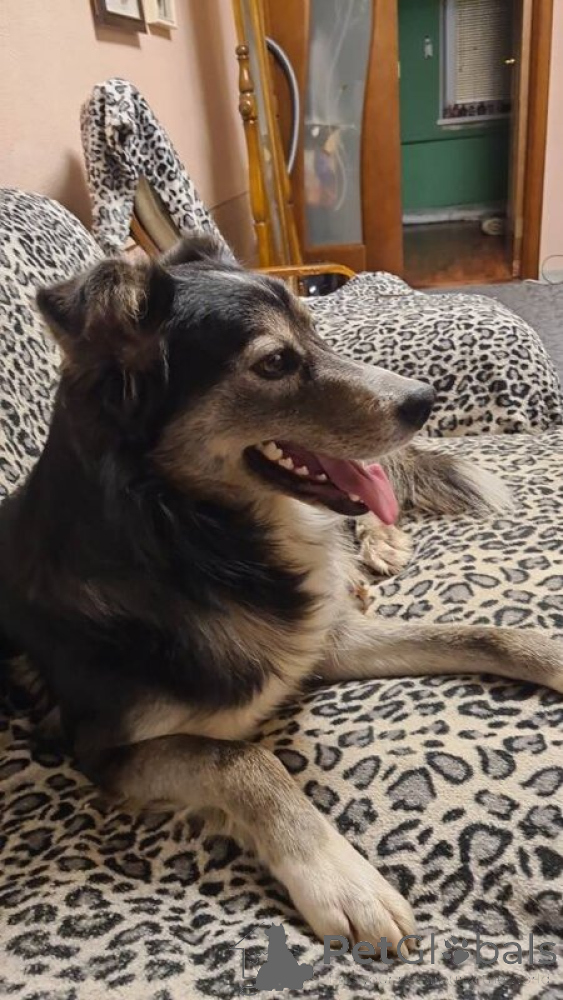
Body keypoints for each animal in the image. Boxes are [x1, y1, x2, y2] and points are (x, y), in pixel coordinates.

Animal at [1, 234, 562, 953]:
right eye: (273, 363)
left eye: (315, 331)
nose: (424, 399)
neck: (192, 537)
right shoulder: (102, 750)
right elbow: (243, 759)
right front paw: (340, 879)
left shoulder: (317, 643)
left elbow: (482, 632)